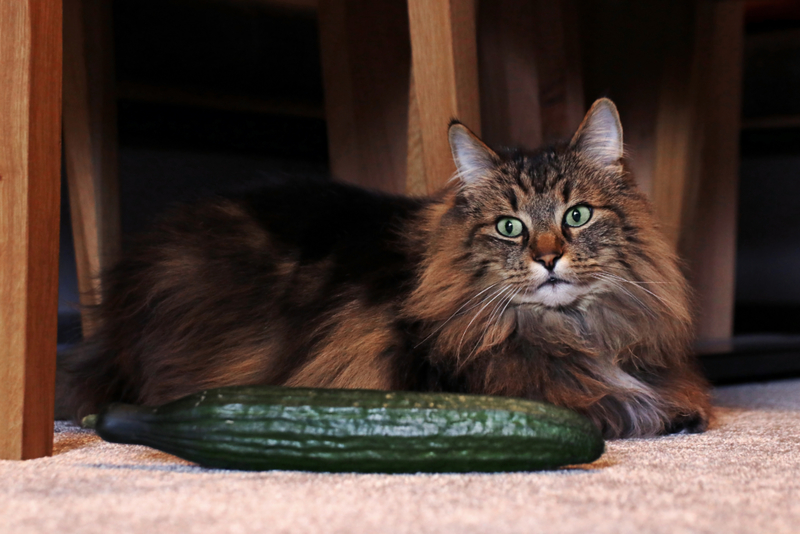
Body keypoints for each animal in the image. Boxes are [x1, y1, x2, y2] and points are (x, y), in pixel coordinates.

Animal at [64, 99, 712, 440]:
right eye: (510, 227)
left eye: (577, 215)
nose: (548, 257)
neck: (570, 329)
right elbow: (597, 401)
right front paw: (637, 411)